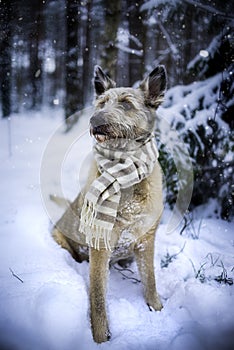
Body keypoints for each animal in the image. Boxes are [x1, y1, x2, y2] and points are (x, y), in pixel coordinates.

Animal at [52, 65, 167, 342]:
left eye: (126, 104)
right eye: (101, 103)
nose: (94, 121)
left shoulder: (147, 238)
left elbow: (150, 280)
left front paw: (156, 308)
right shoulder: (99, 245)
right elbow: (98, 297)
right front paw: (101, 337)